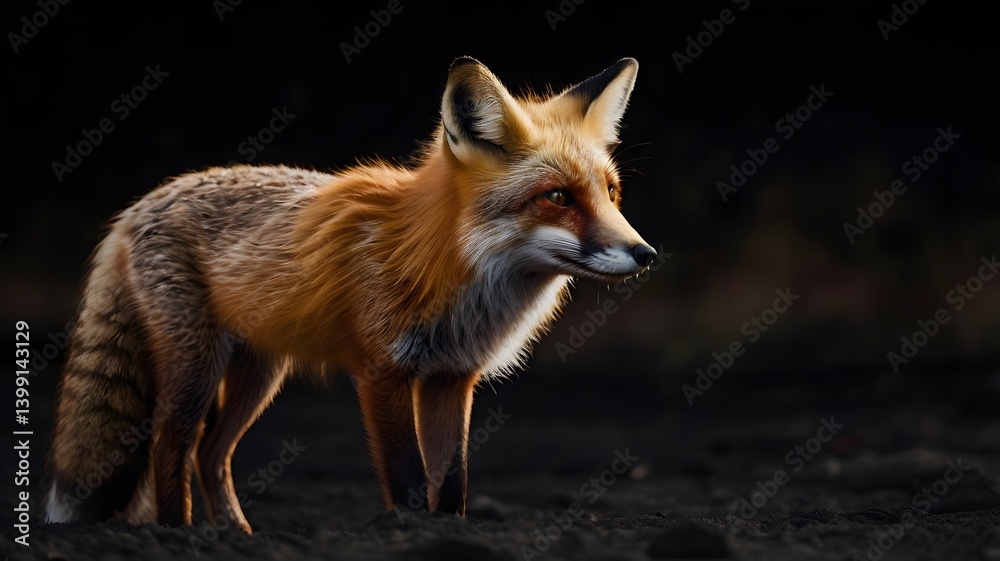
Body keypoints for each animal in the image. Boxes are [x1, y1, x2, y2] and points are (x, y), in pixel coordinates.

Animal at [44, 56, 656, 534]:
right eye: (557, 197)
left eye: (610, 192)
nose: (645, 253)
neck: (446, 268)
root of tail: (142, 202)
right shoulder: (383, 372)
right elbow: (408, 482)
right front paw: (410, 536)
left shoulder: (451, 377)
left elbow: (451, 485)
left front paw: (447, 534)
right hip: (196, 366)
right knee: (170, 446)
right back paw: (178, 535)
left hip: (260, 372)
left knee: (210, 451)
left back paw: (235, 536)